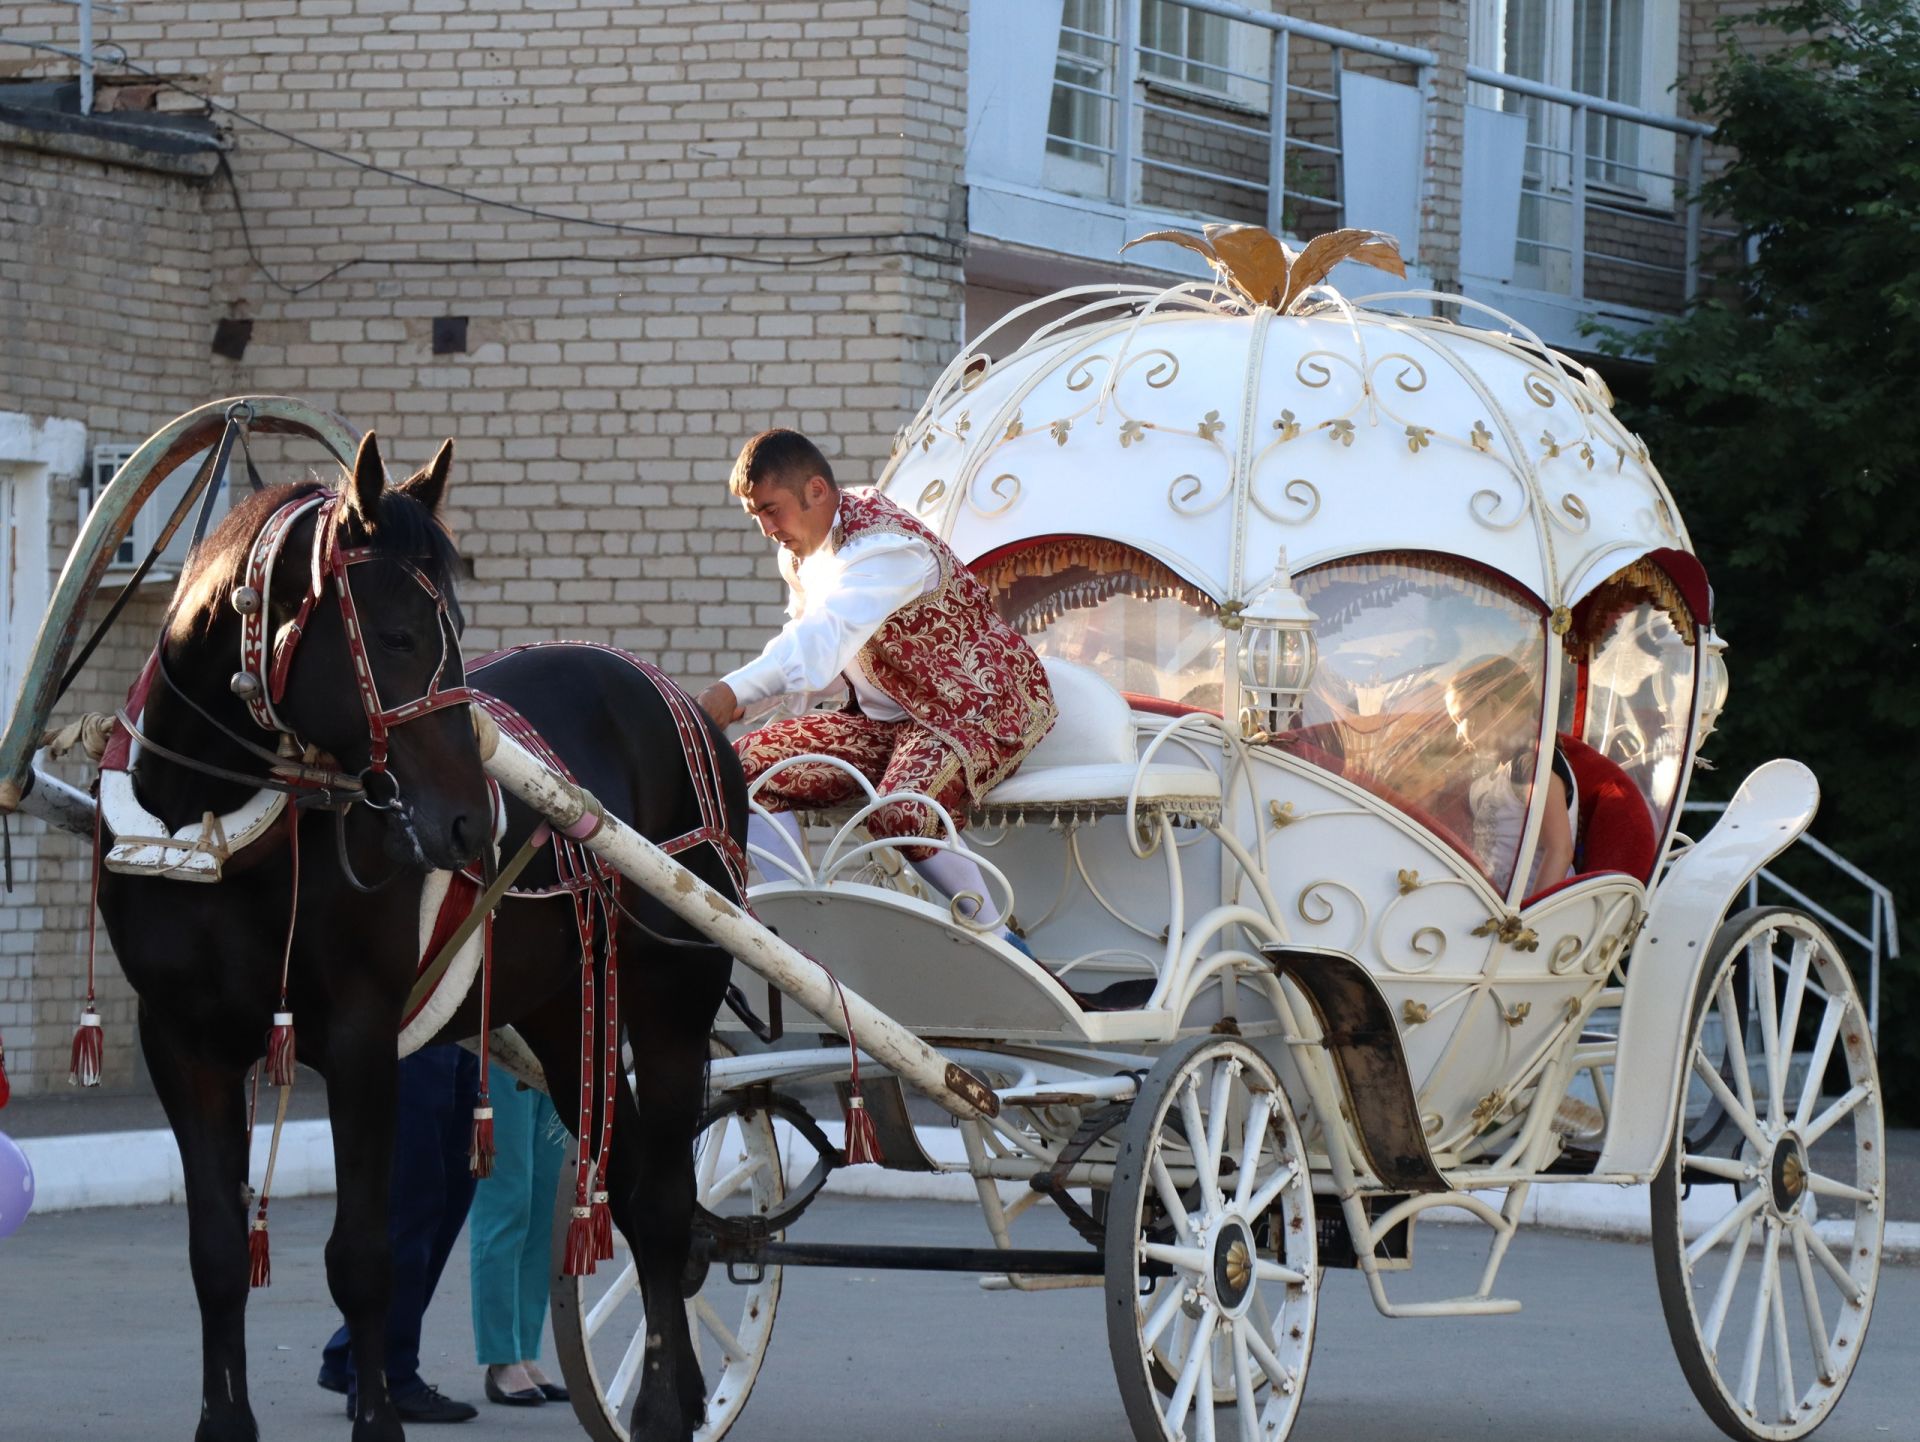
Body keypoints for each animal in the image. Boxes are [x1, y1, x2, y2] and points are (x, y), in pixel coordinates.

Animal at [95, 437, 741, 1442]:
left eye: (457, 627)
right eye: (397, 636)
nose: (474, 822)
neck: (208, 823)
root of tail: (676, 697)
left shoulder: (361, 1037)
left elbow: (362, 1255)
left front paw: (378, 1420)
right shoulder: (181, 1042)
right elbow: (215, 1255)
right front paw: (224, 1423)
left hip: (673, 1002)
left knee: (667, 1207)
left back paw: (668, 1406)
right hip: (565, 1015)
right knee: (632, 1195)